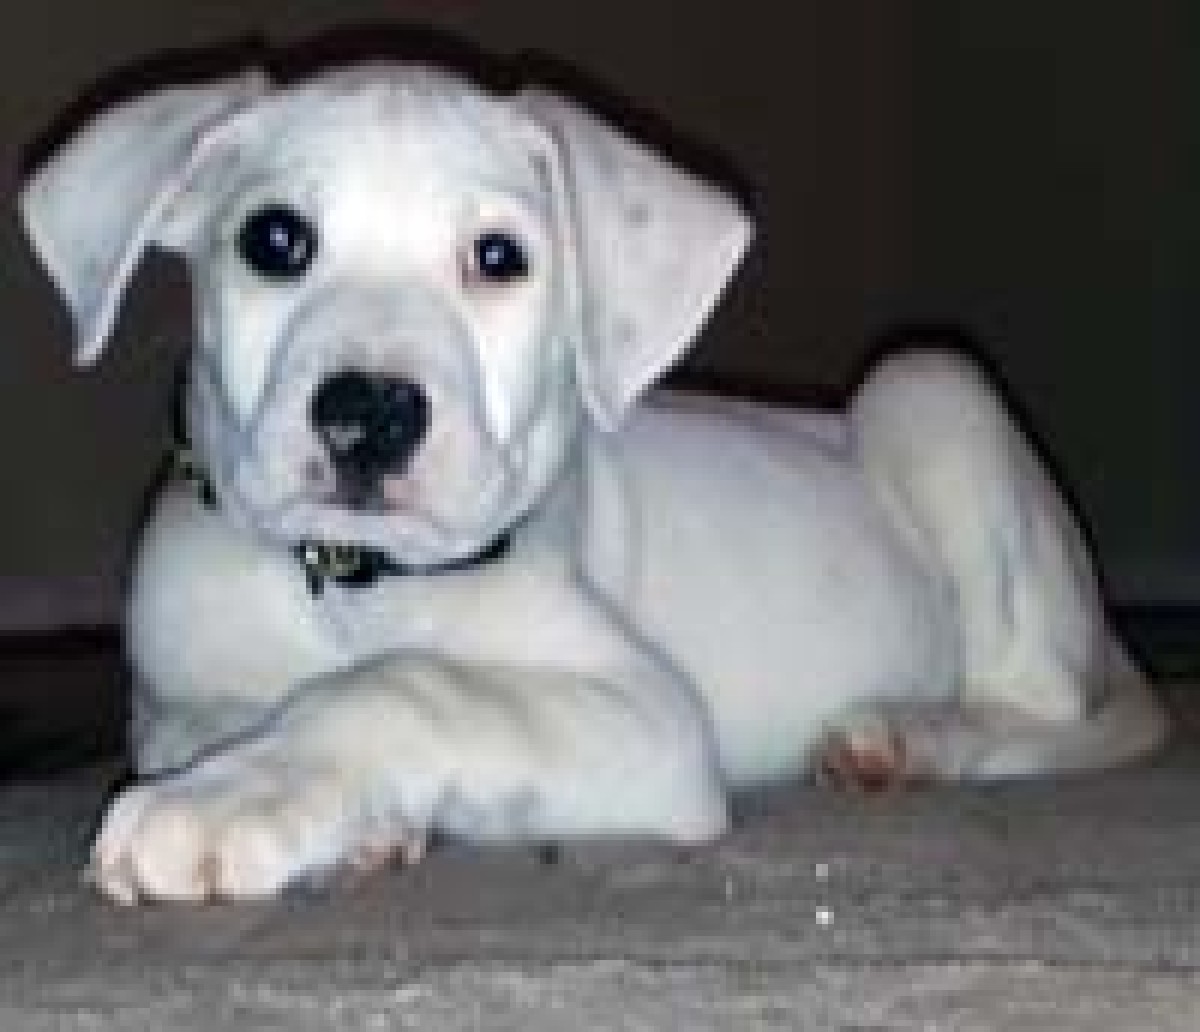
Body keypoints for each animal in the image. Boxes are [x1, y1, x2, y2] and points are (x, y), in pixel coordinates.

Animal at [20, 59, 1170, 903]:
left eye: (498, 258)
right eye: (274, 240)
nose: (368, 415)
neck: (358, 580)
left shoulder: (648, 719)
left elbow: (412, 683)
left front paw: (233, 798)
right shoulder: (169, 696)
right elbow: (208, 720)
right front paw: (318, 809)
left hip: (930, 388)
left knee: (1032, 705)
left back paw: (909, 734)